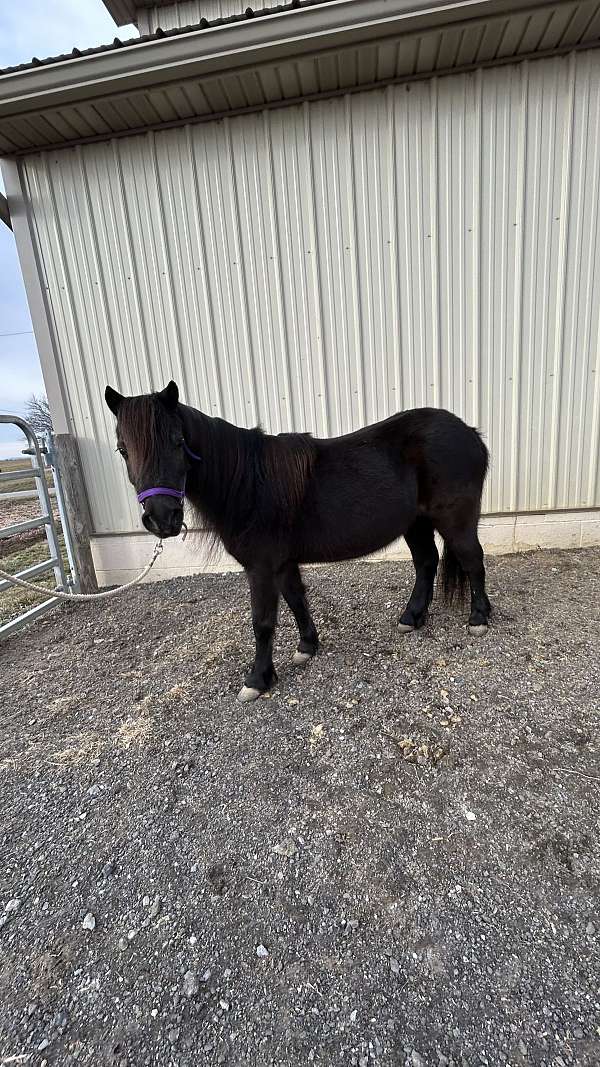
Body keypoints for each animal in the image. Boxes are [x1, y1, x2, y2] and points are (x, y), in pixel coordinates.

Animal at [106, 381, 491, 699]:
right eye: (122, 449)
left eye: (179, 442)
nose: (161, 518)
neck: (248, 484)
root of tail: (470, 433)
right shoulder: (282, 563)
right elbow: (295, 600)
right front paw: (307, 646)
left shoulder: (260, 567)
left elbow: (263, 621)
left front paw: (257, 680)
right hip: (416, 523)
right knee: (426, 563)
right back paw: (412, 618)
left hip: (455, 520)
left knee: (472, 560)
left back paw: (479, 619)